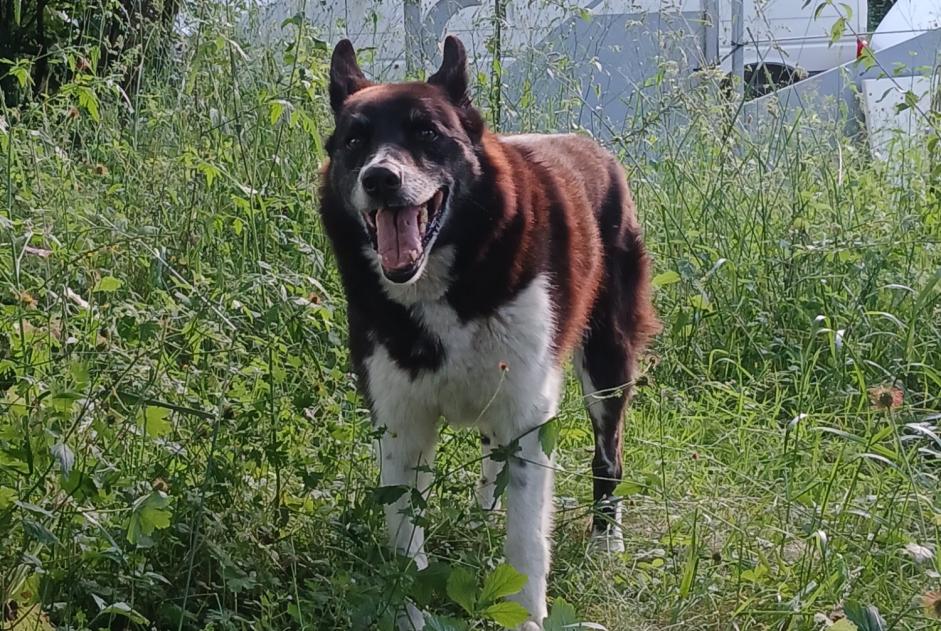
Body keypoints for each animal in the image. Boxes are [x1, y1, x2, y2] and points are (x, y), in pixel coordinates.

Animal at [320, 35, 656, 631]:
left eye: (428, 133)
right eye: (355, 140)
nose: (380, 179)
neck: (445, 285)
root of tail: (589, 147)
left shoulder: (529, 413)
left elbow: (525, 545)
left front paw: (527, 614)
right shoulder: (399, 425)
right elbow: (406, 550)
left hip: (607, 364)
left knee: (608, 452)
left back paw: (605, 542)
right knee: (491, 453)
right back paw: (482, 515)